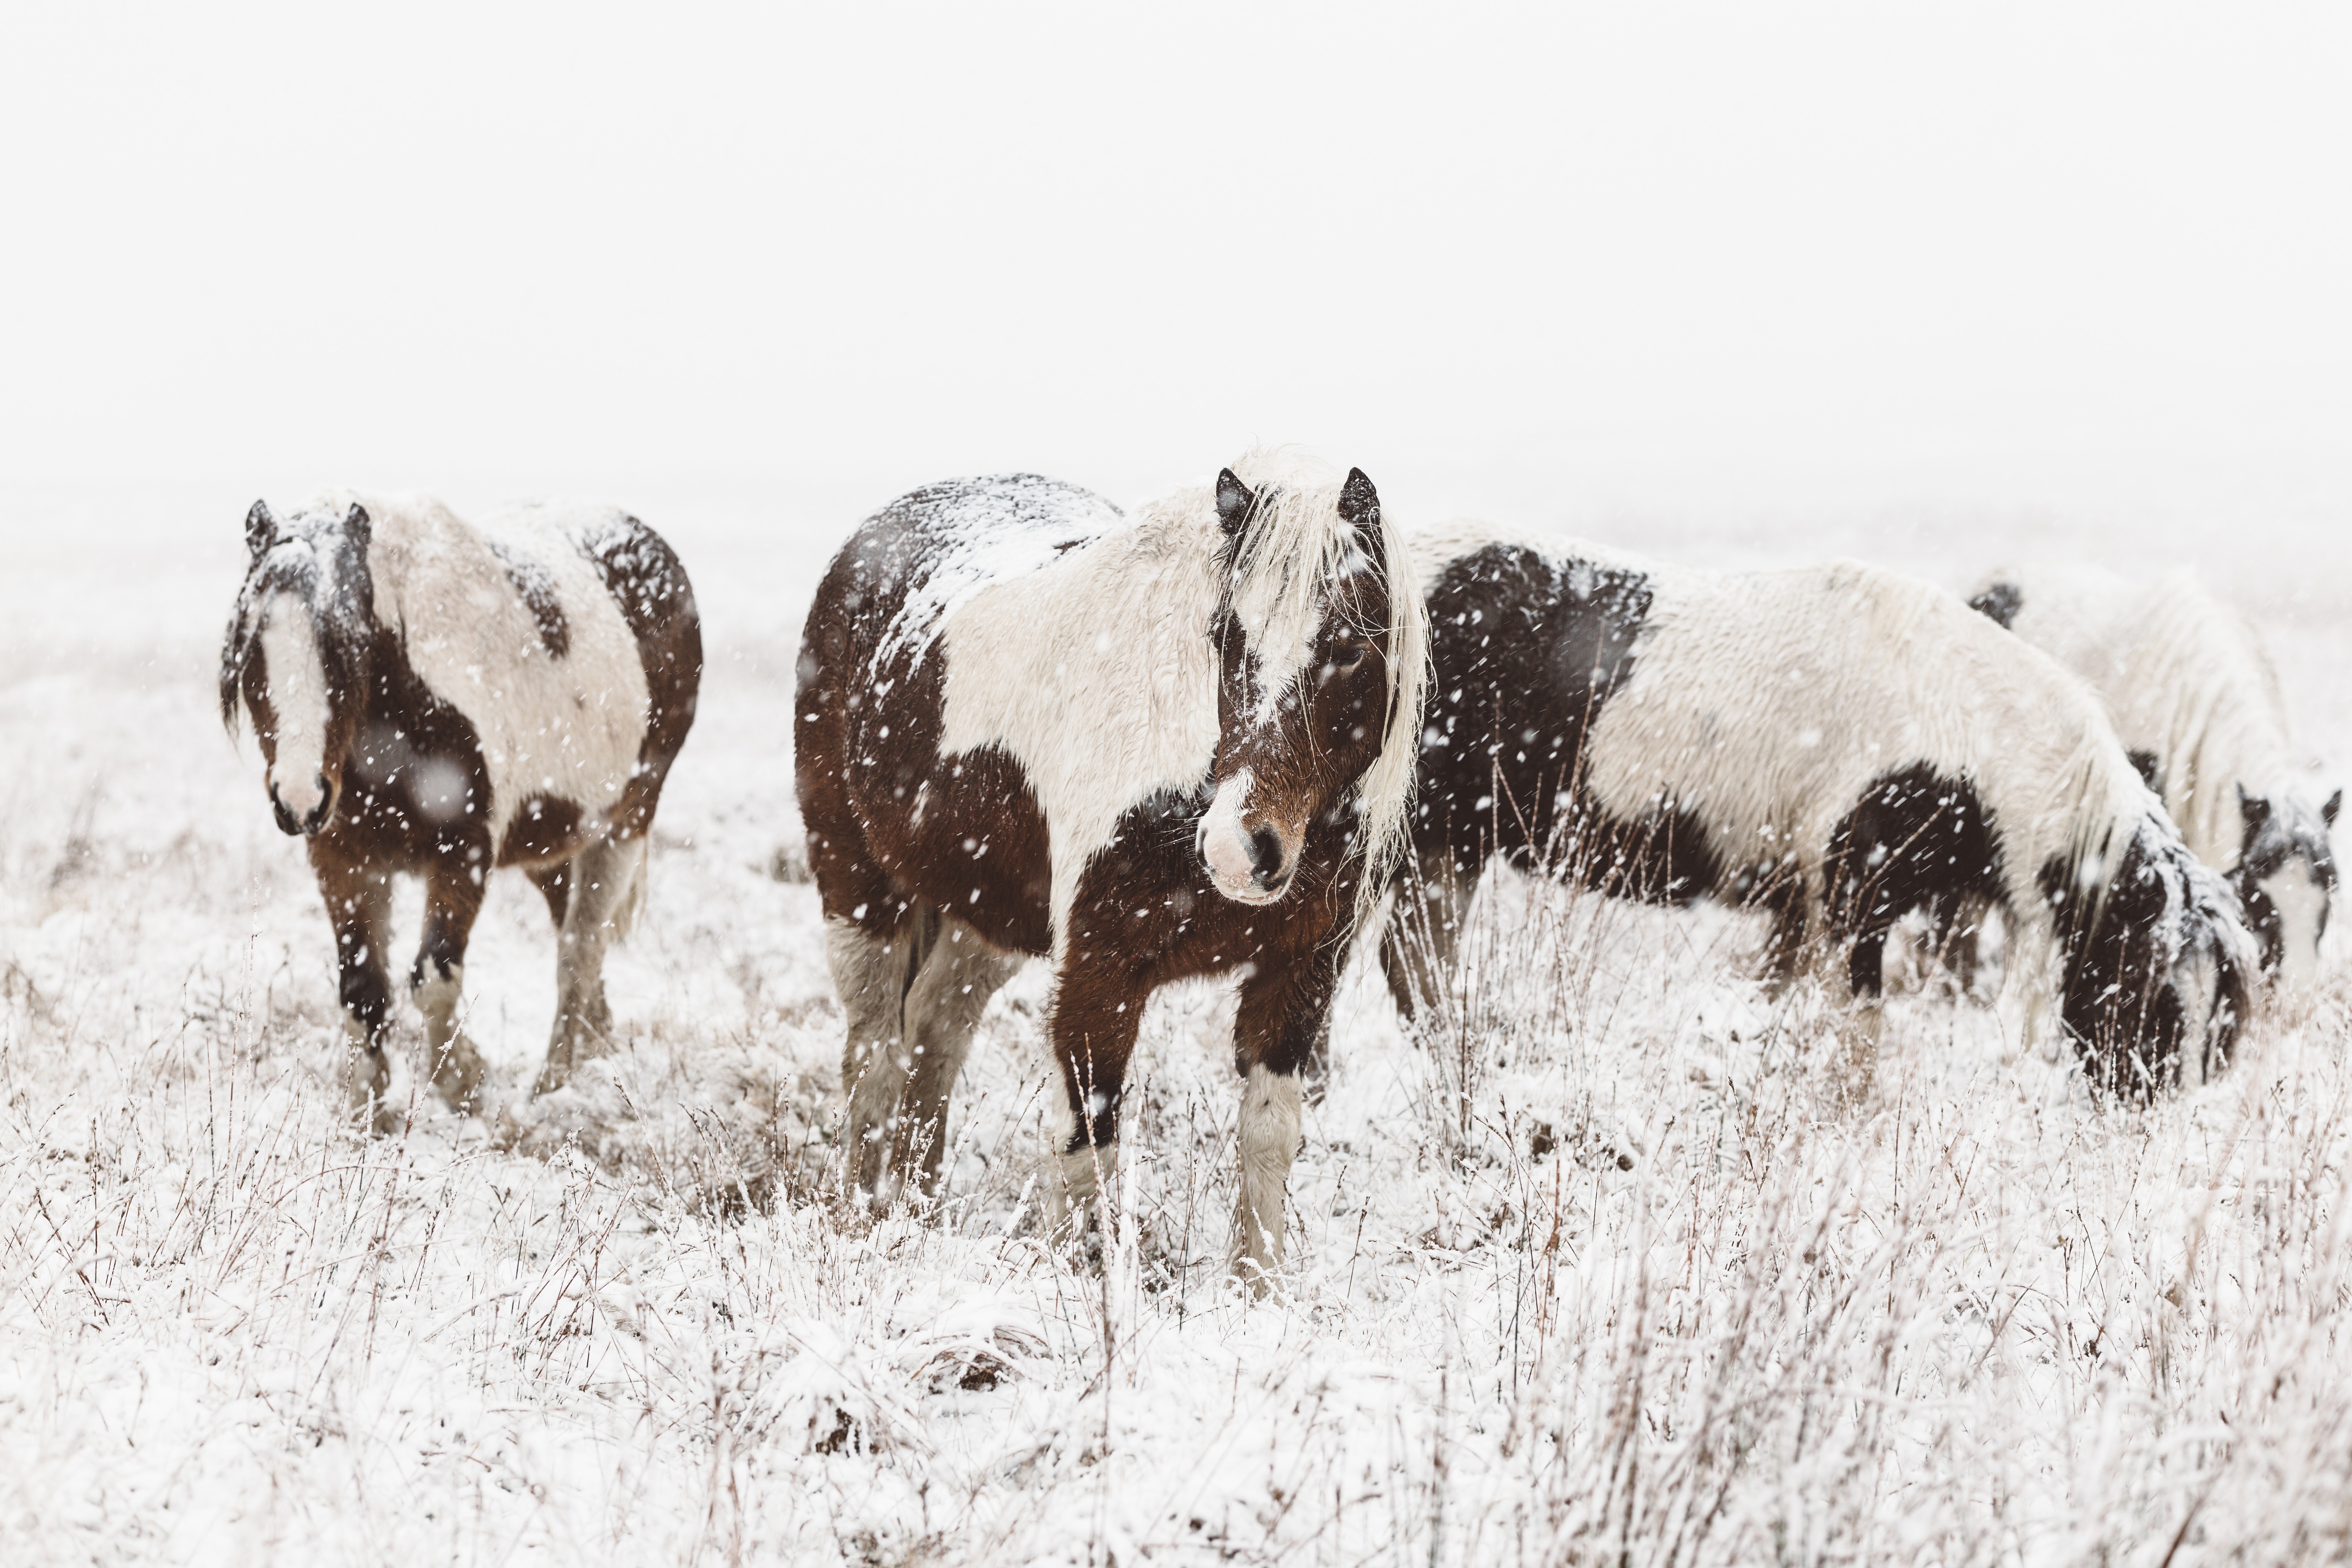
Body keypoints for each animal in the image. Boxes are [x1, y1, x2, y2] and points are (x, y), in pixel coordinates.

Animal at [220, 491, 696, 1128]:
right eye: (254, 652)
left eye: (349, 649)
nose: (300, 799)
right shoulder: (342, 857)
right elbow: (361, 989)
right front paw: (365, 1108)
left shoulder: (463, 851)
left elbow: (432, 980)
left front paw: (465, 1082)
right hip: (552, 846)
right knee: (573, 941)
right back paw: (593, 1048)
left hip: (625, 825)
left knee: (581, 949)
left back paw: (552, 1085)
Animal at [790, 454, 1421, 1288]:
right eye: (1225, 634)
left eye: (1351, 647)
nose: (1236, 850)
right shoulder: (1098, 973)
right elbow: (1089, 1143)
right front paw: (1072, 1285)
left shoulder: (1300, 974)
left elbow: (1268, 1137)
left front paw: (1256, 1288)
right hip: (858, 890)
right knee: (874, 1055)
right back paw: (865, 1215)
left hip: (987, 918)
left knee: (934, 1032)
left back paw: (919, 1210)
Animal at [1383, 526, 2248, 1105]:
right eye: (2151, 987)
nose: (2153, 1113)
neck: (1962, 731)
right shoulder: (1851, 897)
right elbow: (1856, 1035)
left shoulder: (1800, 904)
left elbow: (1768, 1007)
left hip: (1448, 845)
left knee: (1420, 967)